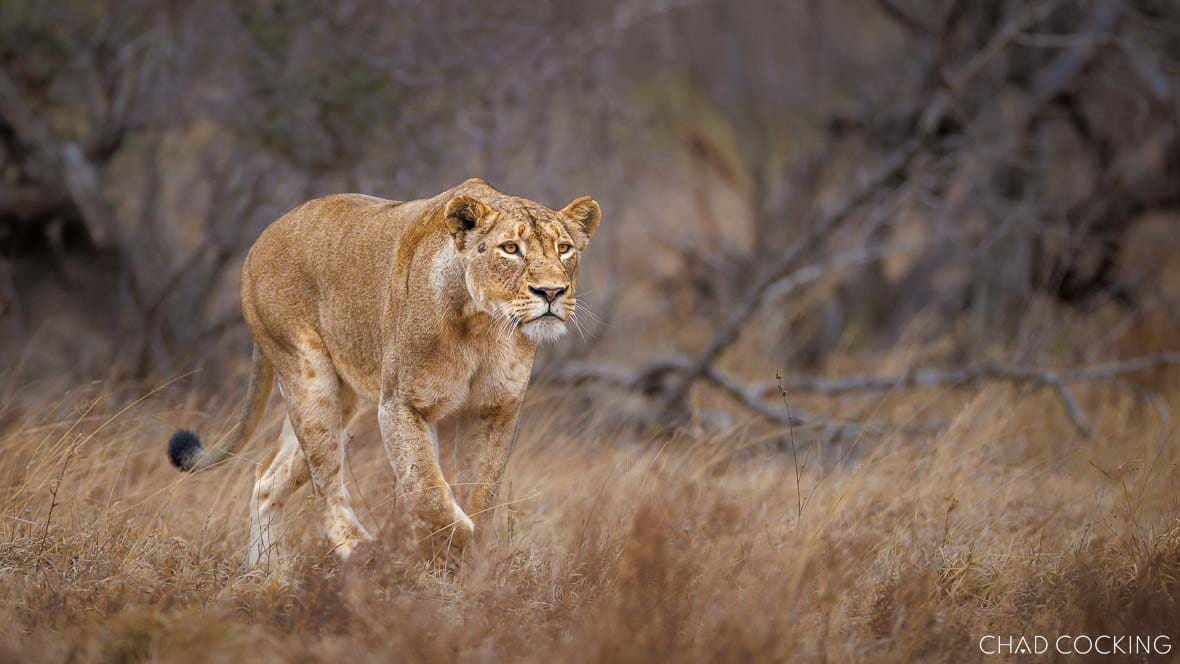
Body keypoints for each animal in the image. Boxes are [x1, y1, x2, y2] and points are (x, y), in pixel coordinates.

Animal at [166, 178, 600, 566]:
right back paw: (359, 550)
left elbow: (479, 491)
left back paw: (267, 574)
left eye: (564, 249)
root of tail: (262, 238)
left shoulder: (495, 409)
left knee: (269, 477)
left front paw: (469, 560)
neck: (482, 327)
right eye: (510, 249)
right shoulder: (402, 404)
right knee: (326, 482)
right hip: (309, 379)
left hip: (342, 398)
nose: (551, 292)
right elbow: (429, 491)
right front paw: (450, 543)